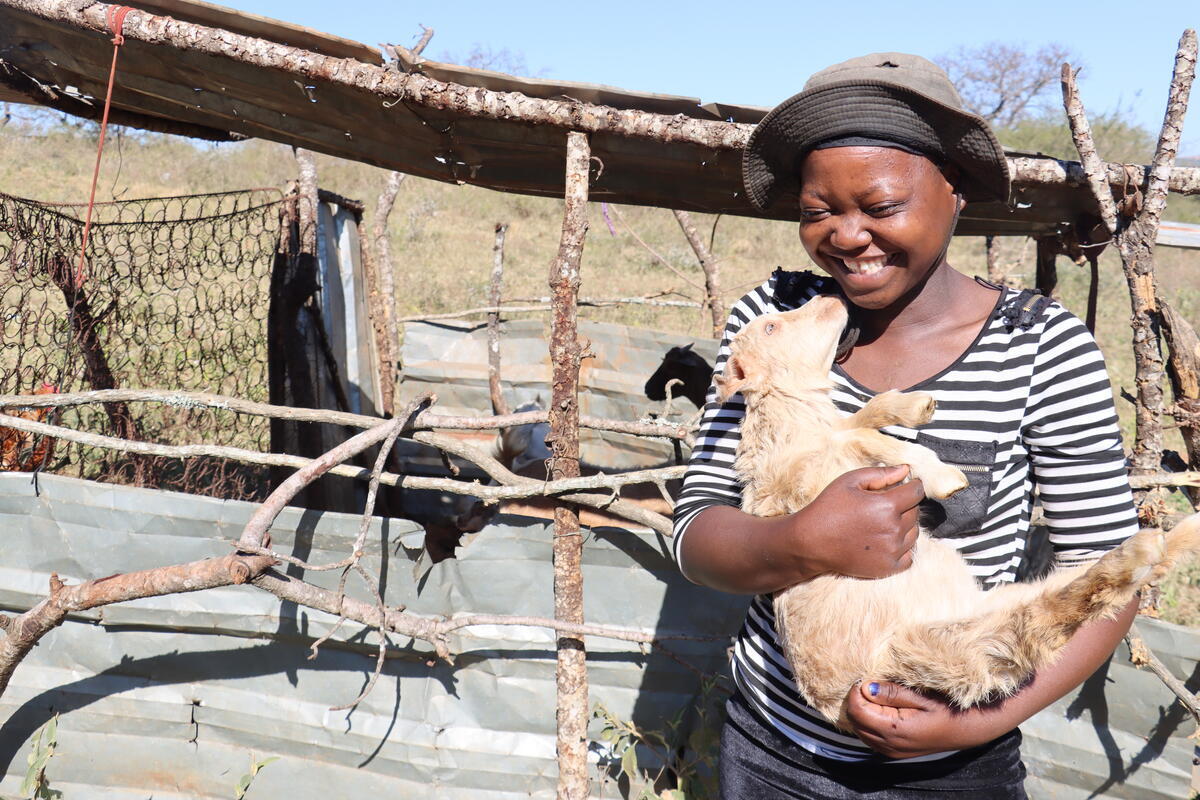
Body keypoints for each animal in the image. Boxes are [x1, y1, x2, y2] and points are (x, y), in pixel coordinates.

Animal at [714, 295, 1200, 729]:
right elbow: (867, 439)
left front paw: (913, 407)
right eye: (771, 326)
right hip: (954, 644)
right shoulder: (809, 478)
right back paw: (1143, 548)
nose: (829, 296)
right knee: (1059, 611)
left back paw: (1177, 533)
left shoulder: (829, 439)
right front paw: (943, 474)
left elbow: (862, 420)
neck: (795, 412)